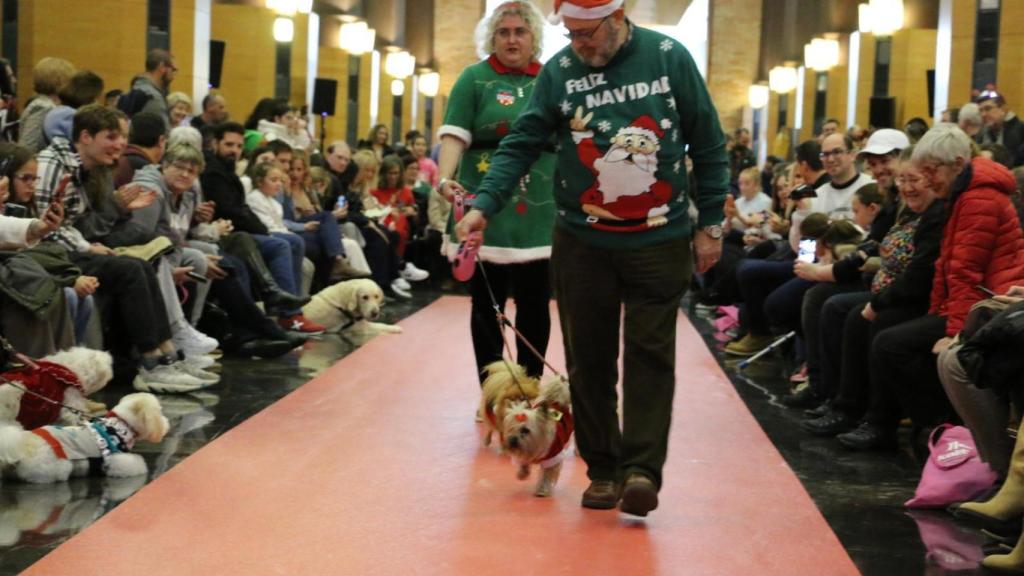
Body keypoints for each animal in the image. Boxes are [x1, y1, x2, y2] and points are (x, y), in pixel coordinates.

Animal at [0, 391, 169, 481]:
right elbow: (133, 463)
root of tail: (22, 445)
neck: (122, 424)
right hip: (56, 467)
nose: (167, 423)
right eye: (160, 412)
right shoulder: (115, 458)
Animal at [479, 360, 577, 496]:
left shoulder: (553, 458)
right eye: (511, 428)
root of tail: (557, 400)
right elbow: (524, 463)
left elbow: (546, 476)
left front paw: (542, 490)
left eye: (525, 430)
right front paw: (522, 473)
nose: (512, 440)